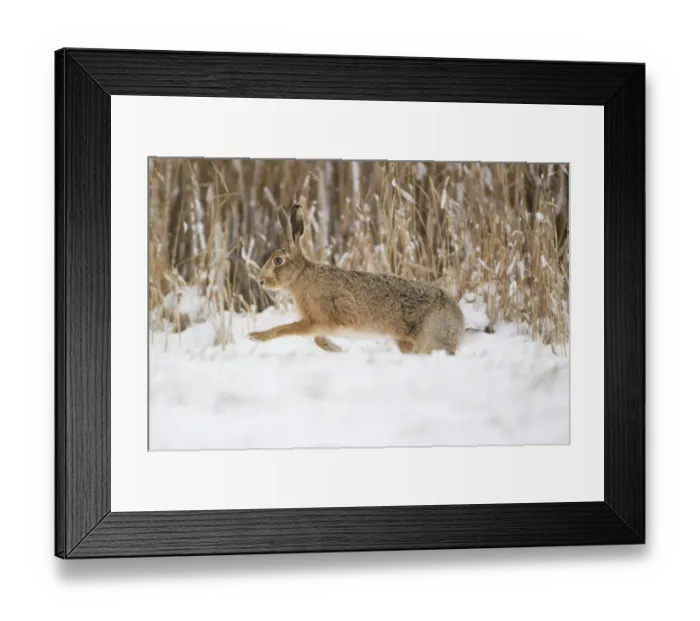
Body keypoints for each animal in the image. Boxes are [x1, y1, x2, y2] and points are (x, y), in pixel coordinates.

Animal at [247, 203, 466, 355]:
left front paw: (256, 337)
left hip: (426, 339)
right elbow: (317, 339)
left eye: (278, 260)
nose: (261, 281)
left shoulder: (319, 320)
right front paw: (335, 348)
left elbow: (285, 329)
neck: (301, 276)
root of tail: (458, 321)